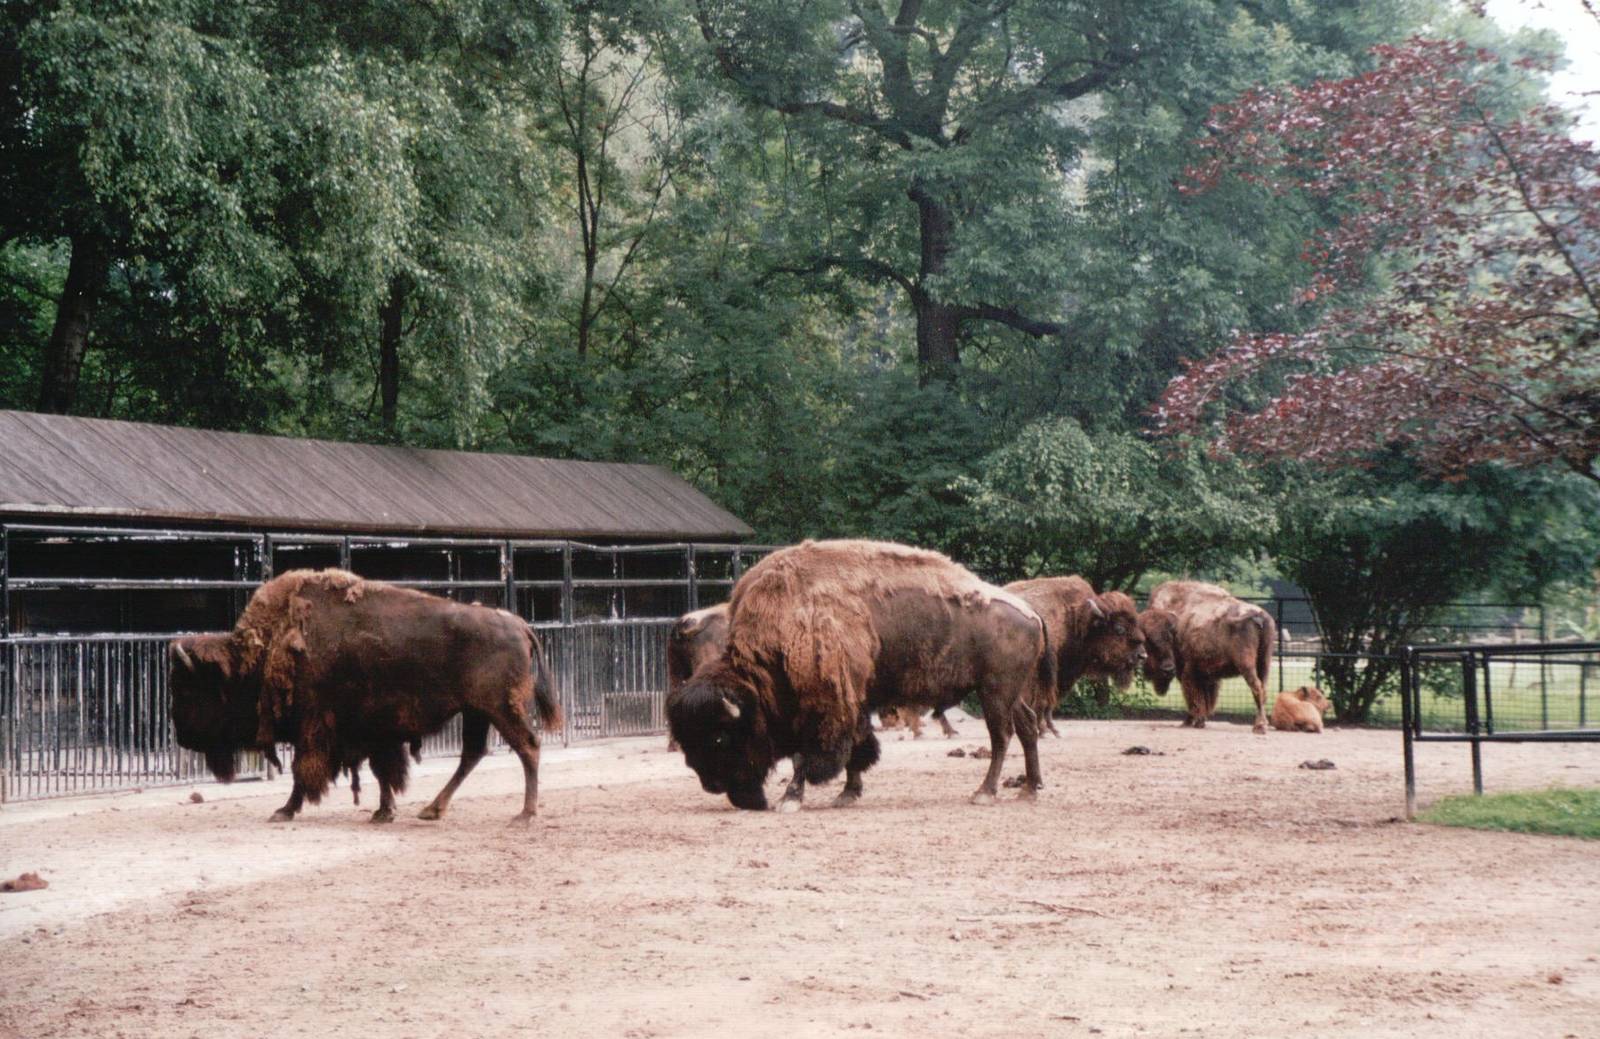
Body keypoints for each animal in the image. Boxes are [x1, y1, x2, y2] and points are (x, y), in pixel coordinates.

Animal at [169, 569, 561, 825]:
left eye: (189, 688)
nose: (180, 735)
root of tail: (519, 624)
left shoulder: (315, 729)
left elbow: (302, 772)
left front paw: (284, 810)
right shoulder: (372, 733)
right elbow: (381, 772)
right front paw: (383, 812)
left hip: (501, 708)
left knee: (527, 746)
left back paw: (524, 815)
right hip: (477, 712)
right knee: (474, 753)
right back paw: (432, 810)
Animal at [667, 539, 1049, 811]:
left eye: (719, 737)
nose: (712, 785)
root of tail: (1031, 612)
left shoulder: (823, 709)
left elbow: (807, 755)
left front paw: (790, 799)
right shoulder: (855, 702)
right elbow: (858, 748)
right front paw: (847, 794)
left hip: (994, 693)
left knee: (1001, 736)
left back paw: (984, 792)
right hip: (1011, 694)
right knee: (1027, 728)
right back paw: (1029, 789)